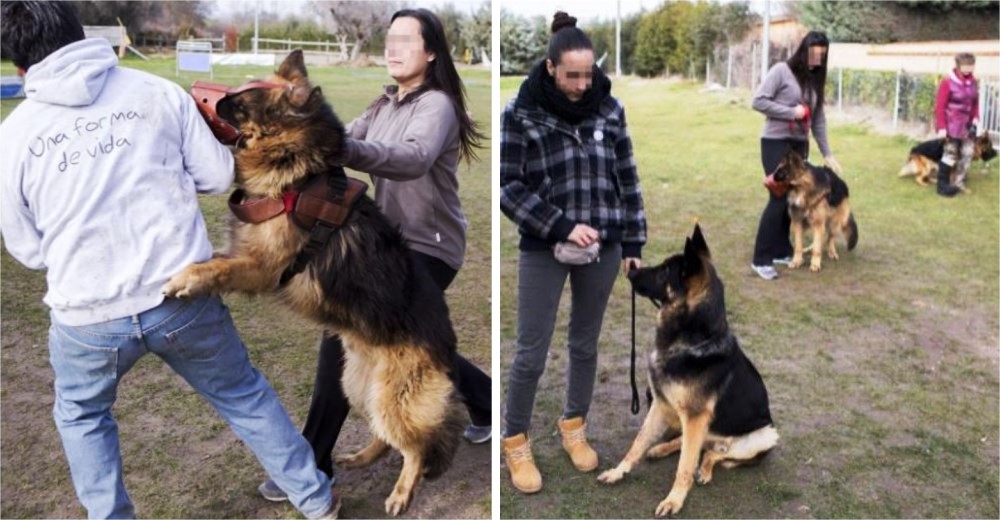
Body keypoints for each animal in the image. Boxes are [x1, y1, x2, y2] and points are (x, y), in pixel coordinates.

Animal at [162, 50, 462, 512]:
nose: (193, 90)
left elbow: (217, 269)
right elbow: (215, 259)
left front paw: (187, 279)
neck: (296, 174)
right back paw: (361, 457)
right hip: (357, 386)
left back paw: (401, 493)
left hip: (391, 396)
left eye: (238, 102)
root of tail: (446, 347)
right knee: (387, 436)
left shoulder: (264, 268)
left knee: (414, 447)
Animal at [592, 225, 780, 516]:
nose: (630, 269)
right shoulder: (660, 405)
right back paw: (661, 449)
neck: (692, 341)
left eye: (663, 272)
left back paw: (704, 470)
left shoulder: (694, 417)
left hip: (765, 435)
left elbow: (684, 465)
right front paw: (618, 472)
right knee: (695, 446)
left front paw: (674, 500)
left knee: (712, 454)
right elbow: (638, 443)